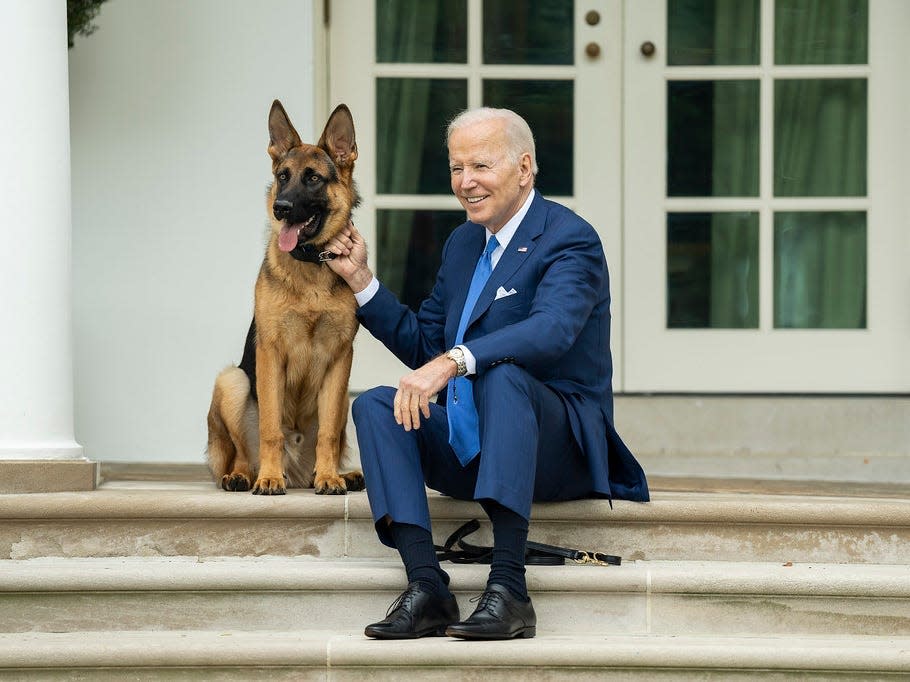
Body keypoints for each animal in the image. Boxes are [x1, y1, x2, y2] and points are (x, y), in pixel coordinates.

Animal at [205, 101, 366, 494]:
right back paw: (245, 475)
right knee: (243, 452)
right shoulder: (270, 353)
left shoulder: (340, 358)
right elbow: (270, 428)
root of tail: (297, 473)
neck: (309, 266)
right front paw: (269, 478)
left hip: (345, 399)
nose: (281, 207)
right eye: (282, 176)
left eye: (313, 179)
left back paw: (338, 474)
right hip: (232, 381)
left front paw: (329, 477)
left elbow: (327, 434)